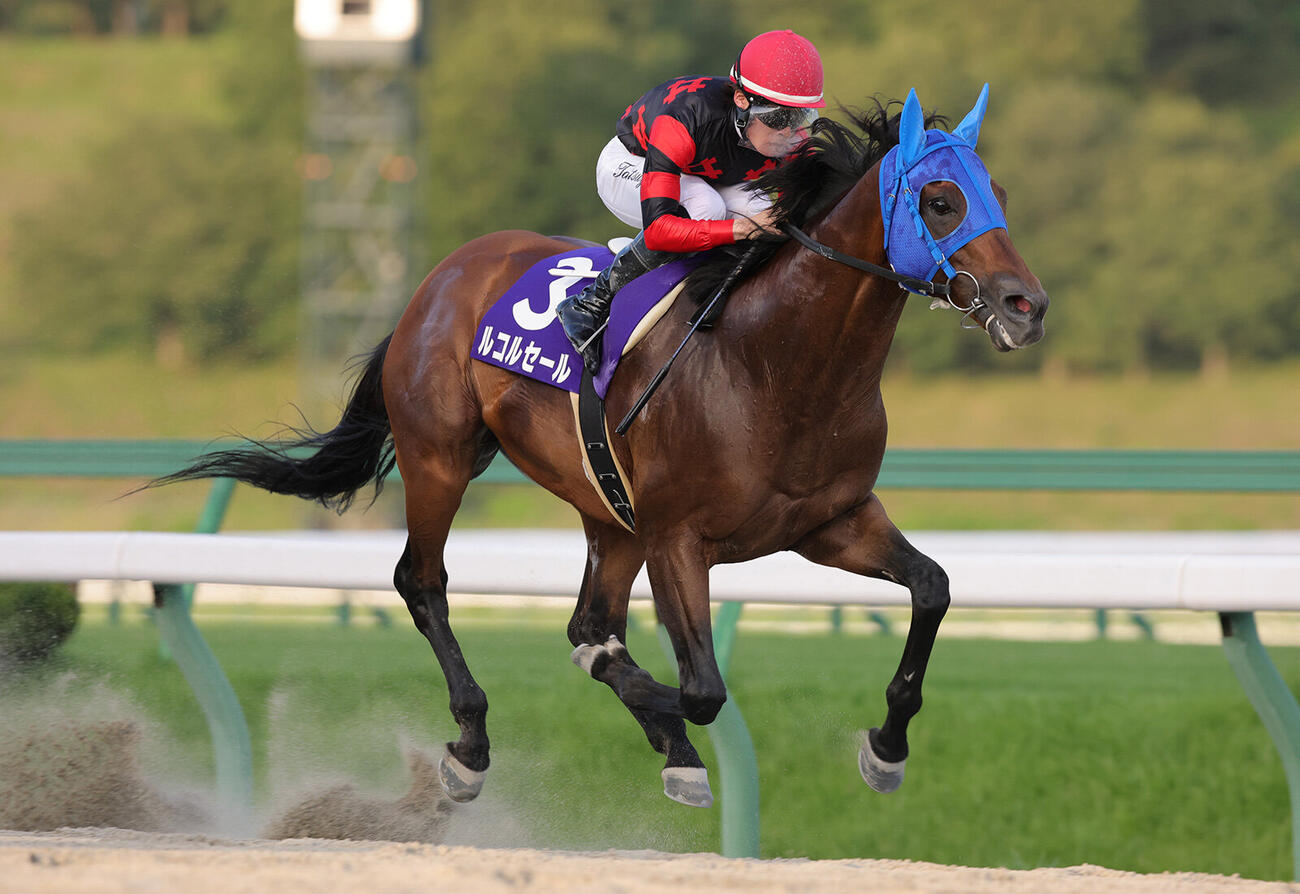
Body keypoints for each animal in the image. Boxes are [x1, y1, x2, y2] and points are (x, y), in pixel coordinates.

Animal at [155, 87, 1048, 809]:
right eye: (940, 200)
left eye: (998, 193)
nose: (1026, 306)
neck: (778, 363)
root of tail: (442, 275)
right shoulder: (679, 538)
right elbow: (701, 689)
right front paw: (664, 716)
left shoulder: (831, 524)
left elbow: (931, 589)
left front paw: (886, 749)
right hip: (442, 456)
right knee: (423, 581)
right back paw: (473, 744)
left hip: (606, 508)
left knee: (587, 618)